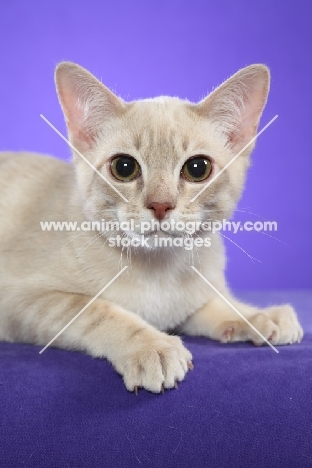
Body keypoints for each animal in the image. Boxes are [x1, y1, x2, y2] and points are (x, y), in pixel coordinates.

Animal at [0, 61, 302, 392]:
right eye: (124, 167)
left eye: (197, 168)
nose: (160, 205)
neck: (158, 270)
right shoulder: (20, 300)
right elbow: (98, 310)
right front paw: (150, 346)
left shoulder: (186, 304)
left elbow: (213, 305)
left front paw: (258, 315)